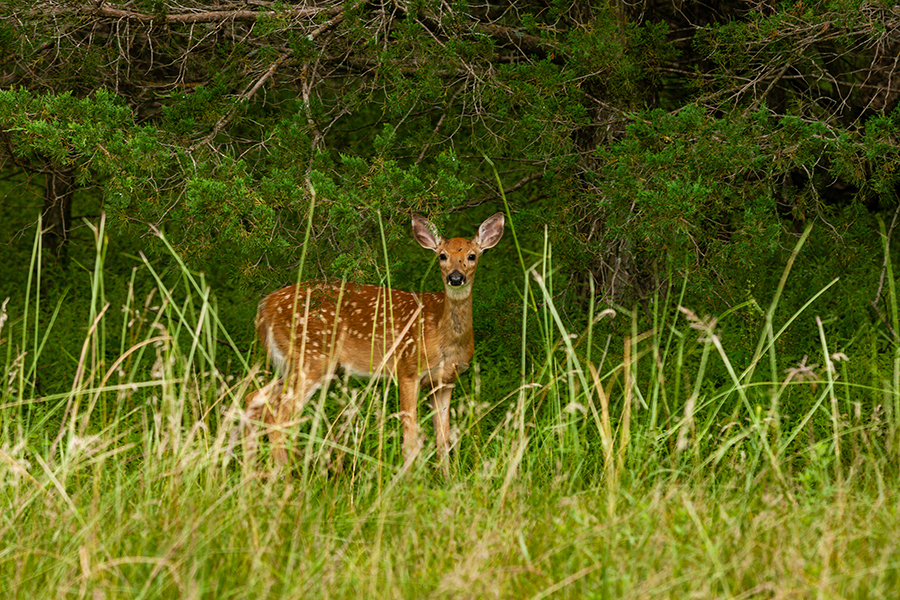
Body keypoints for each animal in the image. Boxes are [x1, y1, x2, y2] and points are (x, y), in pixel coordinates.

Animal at [243, 213, 502, 476]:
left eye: (472, 255)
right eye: (442, 255)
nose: (456, 277)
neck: (444, 337)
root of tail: (264, 307)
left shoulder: (445, 381)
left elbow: (443, 438)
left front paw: (447, 479)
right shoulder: (407, 368)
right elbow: (410, 437)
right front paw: (408, 480)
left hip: (293, 362)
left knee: (255, 399)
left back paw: (253, 472)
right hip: (312, 358)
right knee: (278, 415)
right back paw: (283, 475)